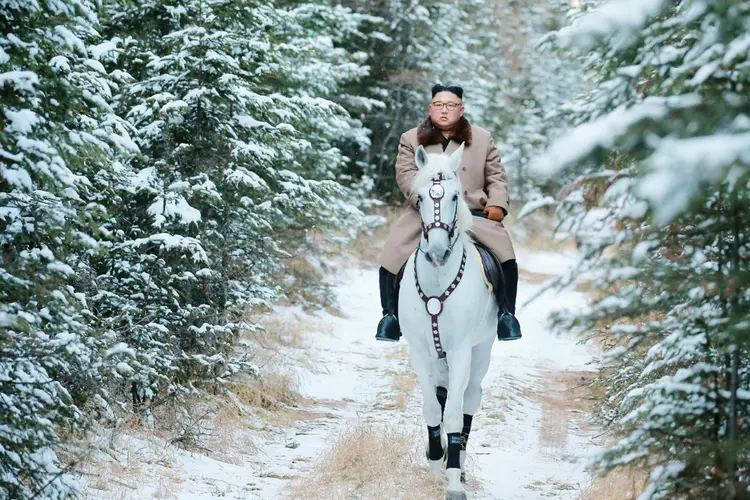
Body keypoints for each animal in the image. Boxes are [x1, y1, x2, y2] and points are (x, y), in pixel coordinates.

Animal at [400, 143, 500, 498]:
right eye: (420, 198)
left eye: (456, 196)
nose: (437, 252)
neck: (437, 282)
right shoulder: (419, 351)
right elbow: (433, 407)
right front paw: (434, 463)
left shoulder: (460, 351)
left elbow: (455, 415)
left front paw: (454, 479)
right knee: (442, 395)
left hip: (482, 350)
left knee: (470, 398)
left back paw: (461, 462)